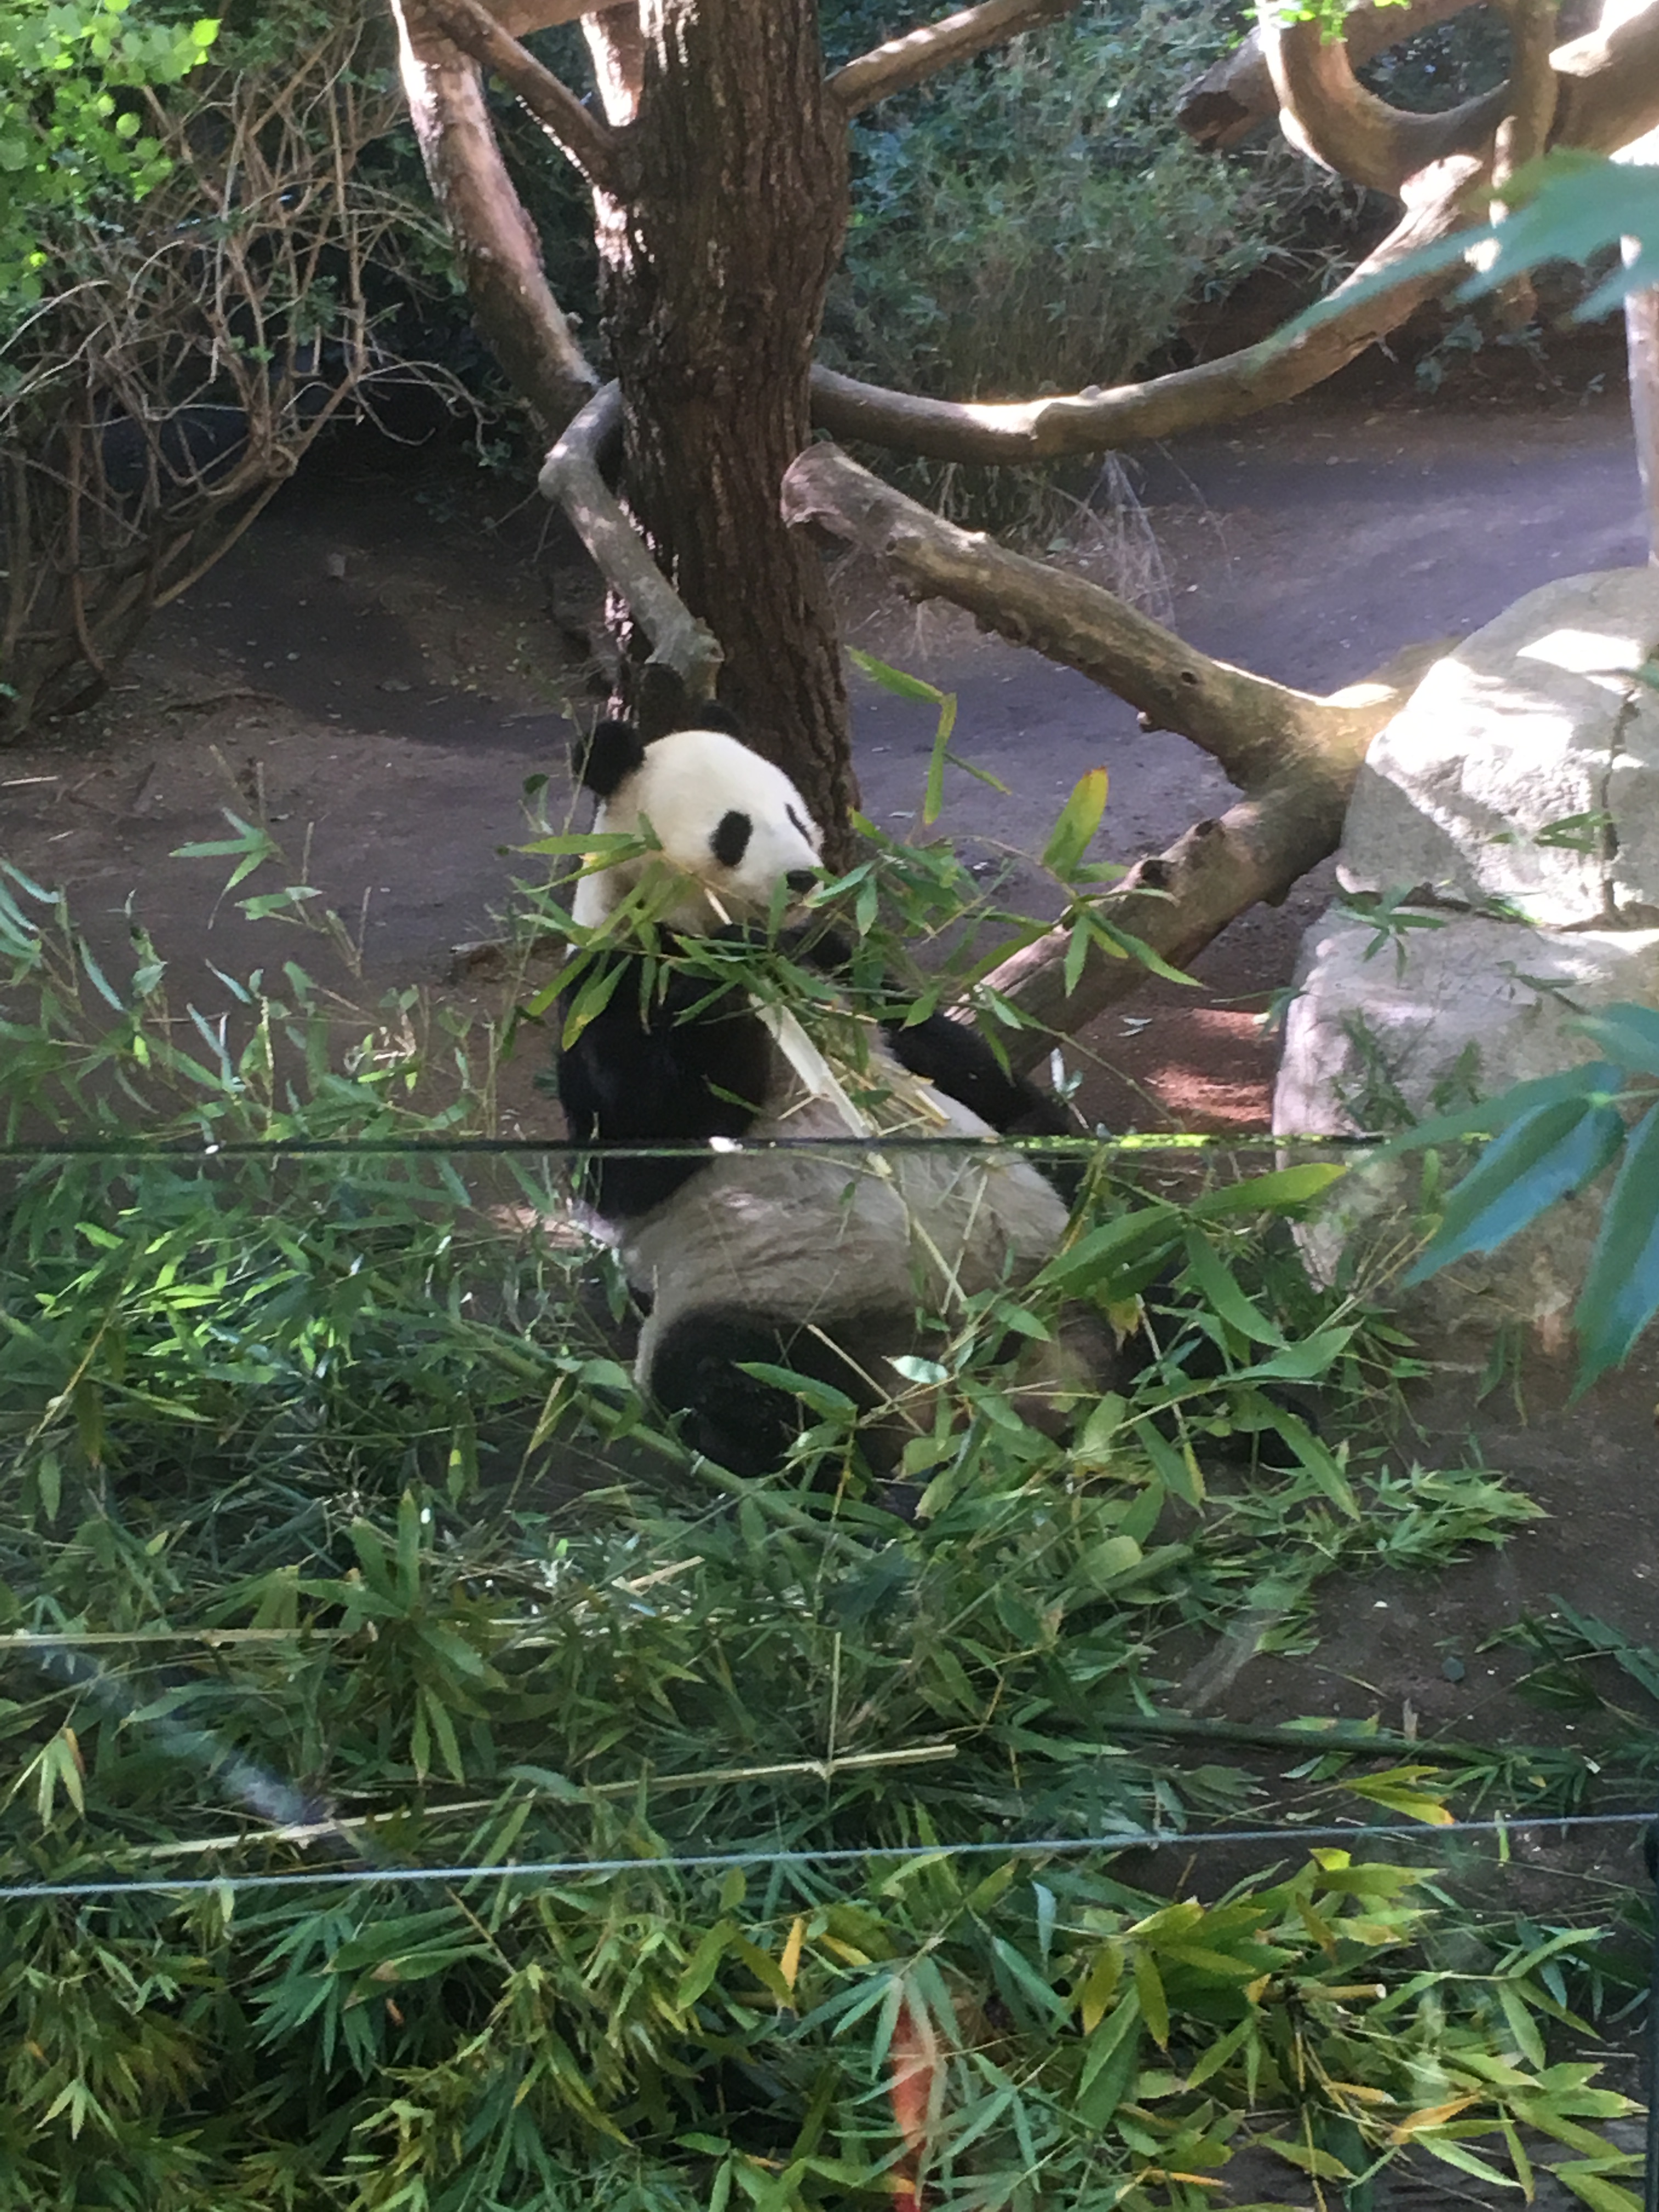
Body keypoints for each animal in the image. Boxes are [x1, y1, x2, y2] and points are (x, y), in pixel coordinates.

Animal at [553, 712, 1113, 1479]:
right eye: (734, 829)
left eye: (796, 814)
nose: (804, 876)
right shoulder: (611, 980)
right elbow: (627, 1158)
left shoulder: (835, 964)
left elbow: (947, 1055)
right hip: (762, 1297)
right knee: (732, 1380)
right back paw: (860, 1480)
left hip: (1061, 1250)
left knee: (1145, 1259)